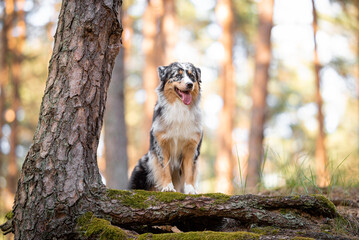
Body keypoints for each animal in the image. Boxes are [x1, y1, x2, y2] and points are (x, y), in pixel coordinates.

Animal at [129, 62, 202, 195]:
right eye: (177, 75)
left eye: (192, 76)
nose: (190, 84)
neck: (180, 108)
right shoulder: (161, 144)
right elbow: (164, 168)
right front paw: (168, 187)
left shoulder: (192, 146)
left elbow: (189, 170)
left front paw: (190, 189)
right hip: (143, 164)